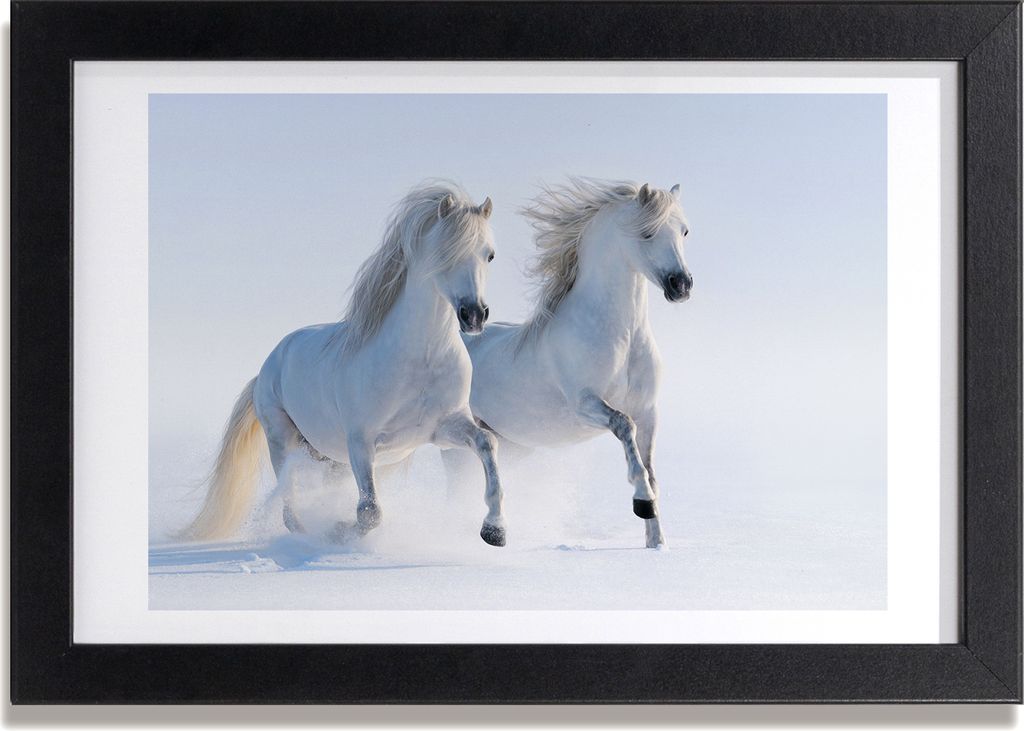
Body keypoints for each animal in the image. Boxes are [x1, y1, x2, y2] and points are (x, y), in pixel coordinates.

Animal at [183, 181, 509, 547]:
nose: (474, 315)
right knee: (289, 504)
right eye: (445, 252)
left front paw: (494, 530)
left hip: (330, 459)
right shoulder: (360, 442)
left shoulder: (443, 428)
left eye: (489, 254)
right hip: (283, 440)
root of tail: (267, 367)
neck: (420, 359)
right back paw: (308, 534)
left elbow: (487, 443)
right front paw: (338, 531)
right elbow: (370, 512)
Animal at [445, 179, 692, 549]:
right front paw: (642, 503)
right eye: (647, 233)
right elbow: (624, 428)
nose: (682, 285)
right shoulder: (585, 404)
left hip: (511, 444)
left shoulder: (648, 411)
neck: (622, 337)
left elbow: (651, 471)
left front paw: (656, 543)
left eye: (684, 231)